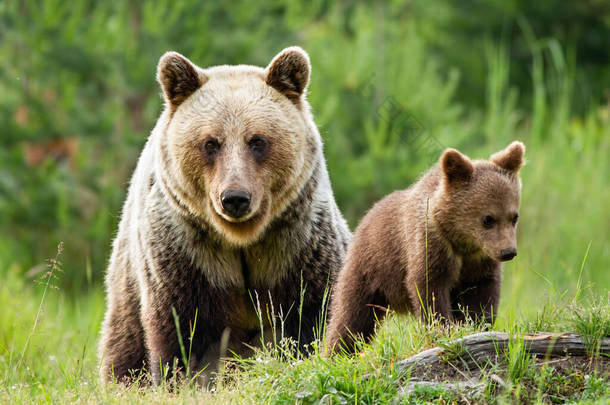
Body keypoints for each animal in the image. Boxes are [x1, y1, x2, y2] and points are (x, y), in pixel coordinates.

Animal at [97, 46, 350, 382]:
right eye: (210, 143)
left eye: (257, 140)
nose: (235, 198)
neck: (241, 239)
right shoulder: (187, 254)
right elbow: (185, 330)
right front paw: (183, 378)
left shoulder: (295, 245)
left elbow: (312, 314)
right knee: (124, 348)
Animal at [324, 141, 524, 350]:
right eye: (488, 219)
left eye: (513, 217)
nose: (508, 252)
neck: (461, 240)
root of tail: (365, 218)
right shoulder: (430, 244)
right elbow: (429, 287)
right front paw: (444, 329)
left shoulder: (479, 260)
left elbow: (482, 291)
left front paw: (477, 324)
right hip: (370, 269)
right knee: (352, 316)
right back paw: (338, 350)